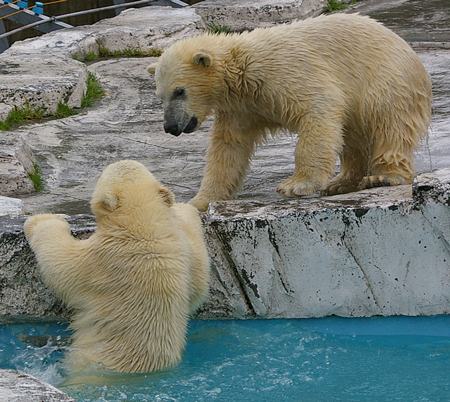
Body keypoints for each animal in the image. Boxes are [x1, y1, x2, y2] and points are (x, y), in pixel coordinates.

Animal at [22, 160, 209, 374]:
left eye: (105, 172)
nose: (122, 160)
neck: (143, 228)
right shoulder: (182, 253)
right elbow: (199, 281)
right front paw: (185, 208)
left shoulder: (104, 260)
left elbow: (60, 263)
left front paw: (40, 220)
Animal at [149, 12, 432, 212]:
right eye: (160, 97)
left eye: (179, 91)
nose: (171, 127)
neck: (241, 70)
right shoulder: (240, 108)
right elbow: (227, 150)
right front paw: (197, 202)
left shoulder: (283, 72)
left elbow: (318, 107)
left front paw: (296, 185)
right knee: (351, 136)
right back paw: (341, 181)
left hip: (386, 79)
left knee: (388, 122)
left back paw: (383, 177)